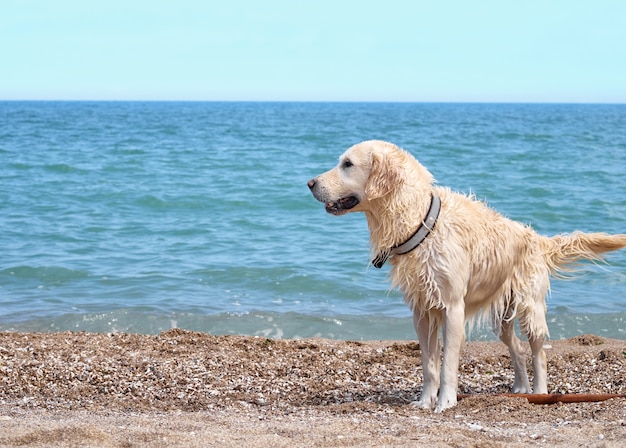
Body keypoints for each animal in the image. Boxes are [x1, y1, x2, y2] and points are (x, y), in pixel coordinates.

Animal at [308, 141, 624, 412]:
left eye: (347, 164)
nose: (310, 183)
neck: (420, 222)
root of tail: (535, 236)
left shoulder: (452, 308)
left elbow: (448, 364)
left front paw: (445, 402)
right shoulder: (422, 312)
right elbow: (429, 365)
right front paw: (425, 401)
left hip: (530, 308)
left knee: (539, 352)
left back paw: (540, 392)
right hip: (502, 319)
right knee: (517, 349)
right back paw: (521, 388)